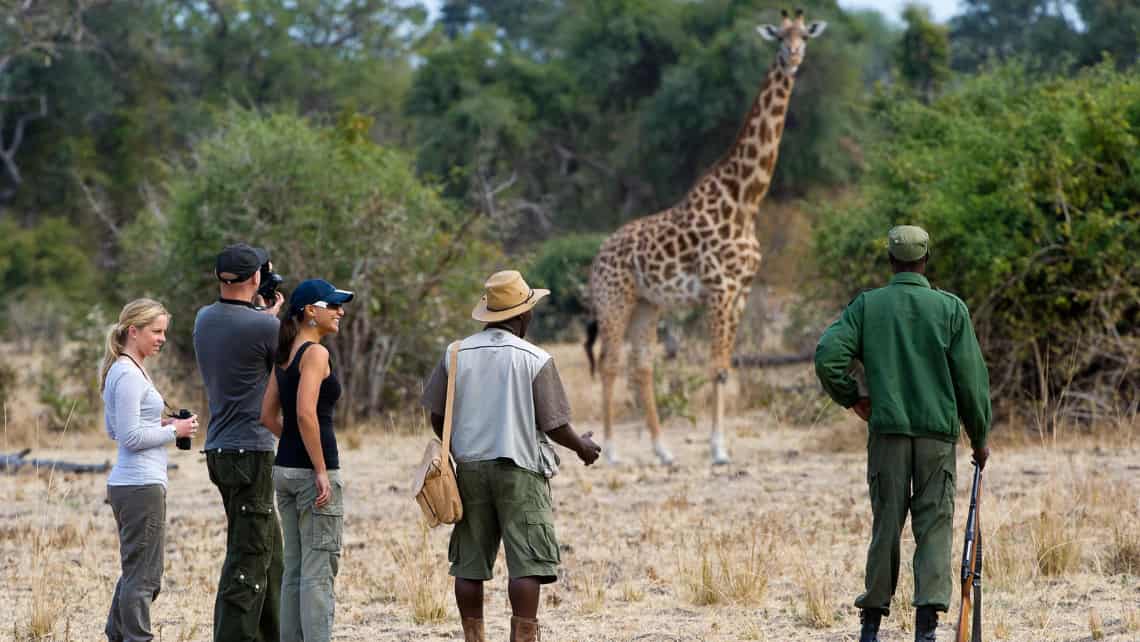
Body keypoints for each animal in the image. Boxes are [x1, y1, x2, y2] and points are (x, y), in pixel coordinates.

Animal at [583, 7, 825, 465]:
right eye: (778, 37)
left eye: (804, 35)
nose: (793, 57)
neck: (746, 200)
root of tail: (598, 254)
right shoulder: (719, 288)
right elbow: (716, 367)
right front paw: (718, 450)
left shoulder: (741, 290)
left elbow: (726, 367)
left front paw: (718, 445)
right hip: (614, 299)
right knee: (609, 363)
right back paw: (611, 450)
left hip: (647, 304)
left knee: (641, 365)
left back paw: (663, 450)